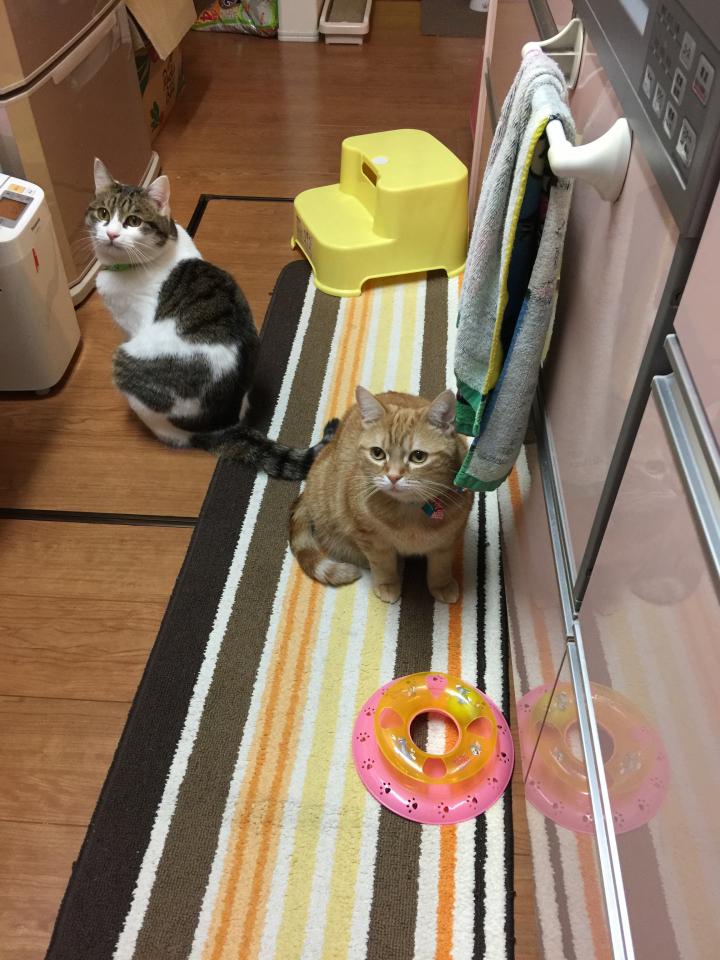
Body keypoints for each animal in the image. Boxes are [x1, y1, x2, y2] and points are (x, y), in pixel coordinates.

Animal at [88, 159, 332, 479]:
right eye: (103, 214)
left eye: (133, 221)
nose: (111, 235)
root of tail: (222, 425)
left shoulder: (130, 326)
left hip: (126, 364)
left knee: (172, 433)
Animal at [290, 386, 473, 604]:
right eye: (377, 453)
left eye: (418, 457)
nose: (393, 477)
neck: (410, 513)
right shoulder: (370, 538)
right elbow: (382, 563)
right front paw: (387, 583)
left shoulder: (448, 539)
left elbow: (441, 564)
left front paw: (441, 584)